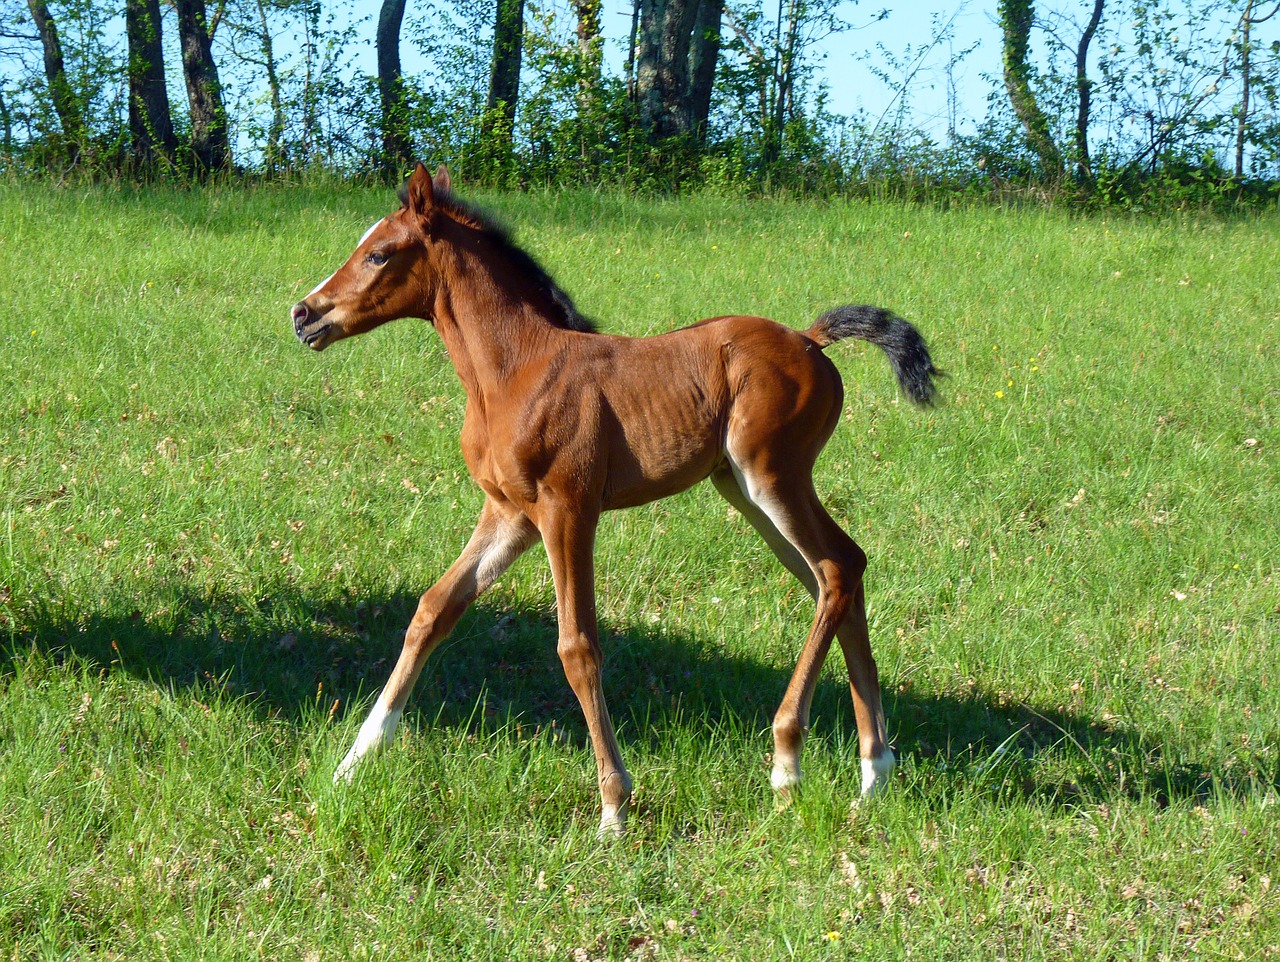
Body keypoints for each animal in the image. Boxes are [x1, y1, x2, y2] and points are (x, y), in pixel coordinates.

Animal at [293, 163, 942, 834]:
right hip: (744, 491)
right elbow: (432, 611)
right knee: (839, 574)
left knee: (837, 568)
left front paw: (613, 806)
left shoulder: (567, 510)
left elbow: (577, 645)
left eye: (378, 253)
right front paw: (352, 763)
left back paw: (788, 763)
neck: (515, 370)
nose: (304, 314)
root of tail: (811, 341)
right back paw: (873, 773)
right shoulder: (509, 515)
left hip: (773, 477)